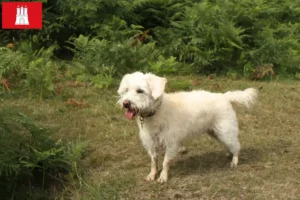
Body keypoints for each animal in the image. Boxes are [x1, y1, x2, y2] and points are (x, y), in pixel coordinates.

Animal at [117, 72, 258, 183]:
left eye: (140, 91)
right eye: (126, 90)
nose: (126, 103)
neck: (156, 111)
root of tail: (224, 96)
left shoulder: (171, 143)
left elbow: (165, 162)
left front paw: (163, 177)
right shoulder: (151, 143)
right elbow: (153, 161)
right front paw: (152, 175)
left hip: (225, 131)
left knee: (236, 146)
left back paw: (234, 161)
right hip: (216, 133)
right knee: (231, 145)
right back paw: (229, 154)